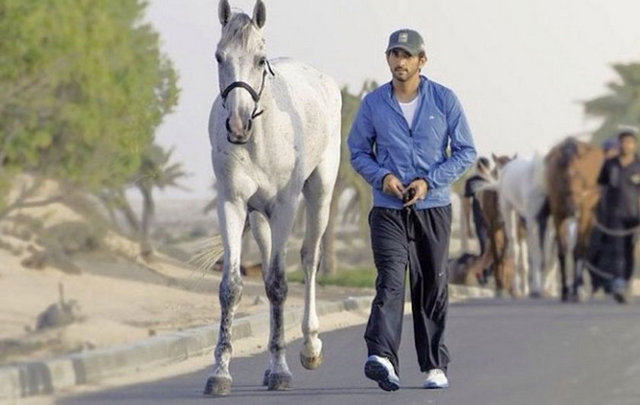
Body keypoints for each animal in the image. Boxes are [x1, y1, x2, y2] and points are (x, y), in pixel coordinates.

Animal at [205, 0, 342, 394]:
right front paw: (220, 372)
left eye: (259, 58)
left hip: (320, 193)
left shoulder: (284, 207)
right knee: (267, 269)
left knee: (309, 259)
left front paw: (281, 369)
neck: (259, 139)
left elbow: (280, 285)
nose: (237, 125)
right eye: (220, 57)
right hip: (258, 216)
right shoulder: (232, 204)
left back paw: (310, 347)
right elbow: (233, 287)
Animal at [500, 155, 552, 296]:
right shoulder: (533, 221)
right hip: (508, 210)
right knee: (515, 248)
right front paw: (536, 288)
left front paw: (545, 289)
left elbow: (546, 256)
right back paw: (517, 290)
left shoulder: (549, 222)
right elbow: (537, 254)